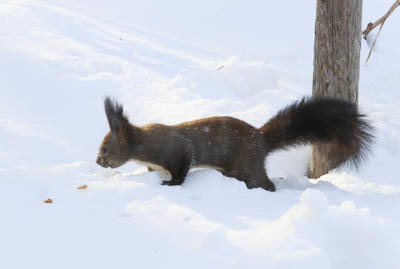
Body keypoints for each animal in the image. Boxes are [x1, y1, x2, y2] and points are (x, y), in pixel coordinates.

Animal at [95, 96, 374, 191]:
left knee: (265, 183)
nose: (98, 161)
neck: (143, 145)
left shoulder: (177, 150)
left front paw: (170, 184)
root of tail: (261, 140)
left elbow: (182, 169)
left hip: (246, 165)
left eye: (106, 148)